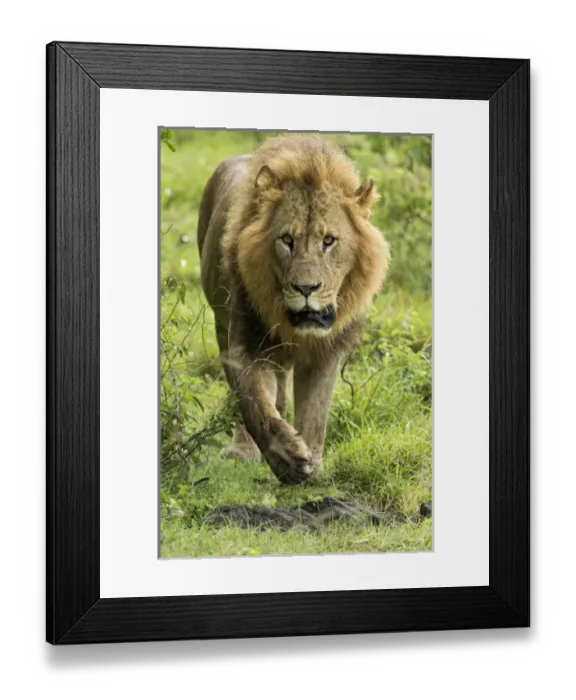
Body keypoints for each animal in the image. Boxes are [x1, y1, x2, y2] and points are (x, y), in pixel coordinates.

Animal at [197, 135, 390, 484]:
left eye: (329, 241)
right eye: (286, 240)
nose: (306, 289)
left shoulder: (326, 352)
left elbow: (315, 412)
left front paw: (313, 466)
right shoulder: (245, 342)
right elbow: (254, 404)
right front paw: (288, 460)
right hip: (220, 323)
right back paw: (243, 451)